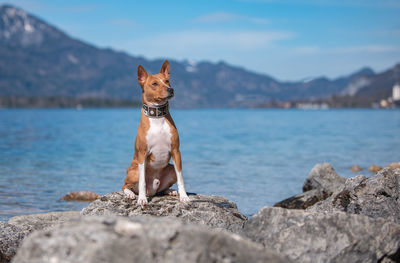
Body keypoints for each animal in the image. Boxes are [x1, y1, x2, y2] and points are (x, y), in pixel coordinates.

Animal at [122, 59, 190, 206]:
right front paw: (142, 199)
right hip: (134, 171)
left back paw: (170, 191)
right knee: (125, 185)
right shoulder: (142, 154)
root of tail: (152, 190)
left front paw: (184, 196)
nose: (171, 89)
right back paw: (131, 194)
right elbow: (142, 182)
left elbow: (181, 178)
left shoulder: (176, 151)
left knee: (162, 189)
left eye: (167, 81)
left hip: (170, 169)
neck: (157, 117)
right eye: (154, 84)